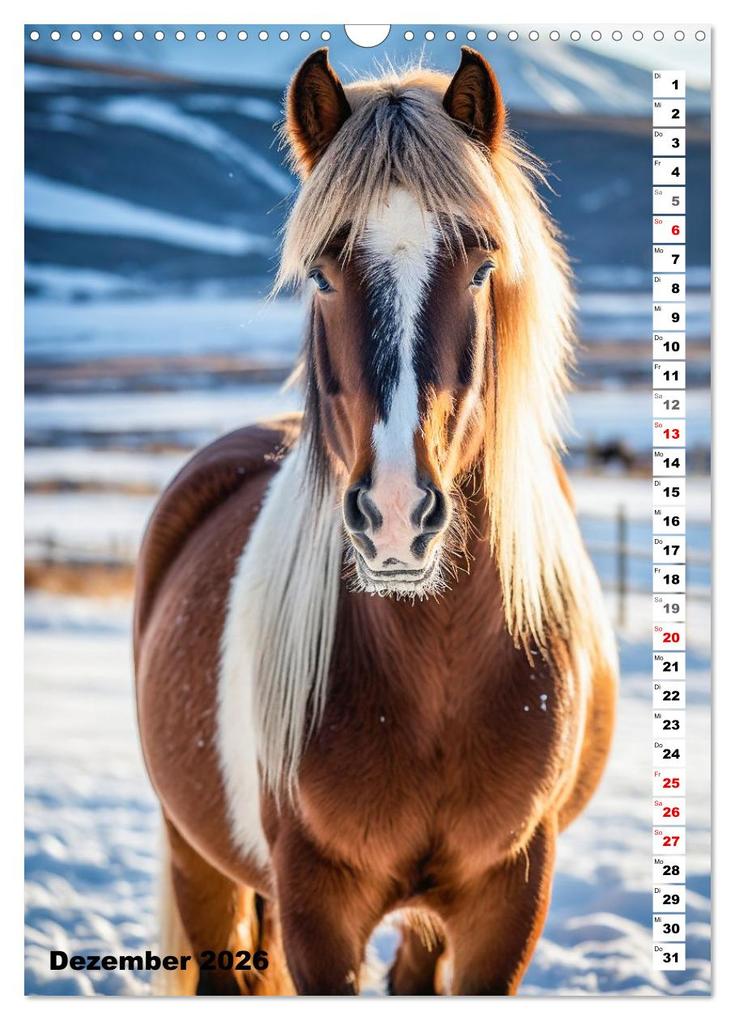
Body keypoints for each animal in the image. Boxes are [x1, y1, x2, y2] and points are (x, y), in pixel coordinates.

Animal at [134, 47, 618, 996]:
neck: (433, 673)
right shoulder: (314, 907)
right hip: (195, 857)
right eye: (322, 274)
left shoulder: (508, 900)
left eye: (480, 266)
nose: (396, 517)